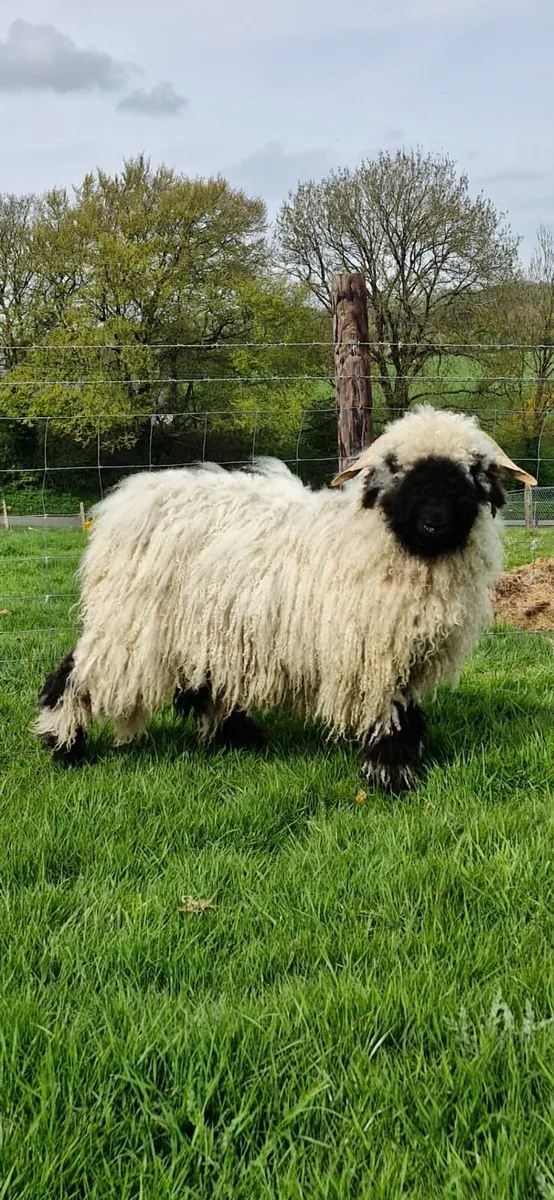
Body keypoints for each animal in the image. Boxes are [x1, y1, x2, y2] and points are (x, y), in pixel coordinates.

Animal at [35, 405, 536, 793]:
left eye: (470, 476)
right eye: (397, 470)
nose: (433, 522)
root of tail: (126, 500)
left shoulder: (403, 651)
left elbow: (405, 711)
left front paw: (402, 763)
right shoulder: (371, 652)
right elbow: (386, 714)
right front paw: (391, 776)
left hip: (200, 624)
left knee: (201, 681)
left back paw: (237, 737)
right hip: (130, 624)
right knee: (78, 673)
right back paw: (62, 744)